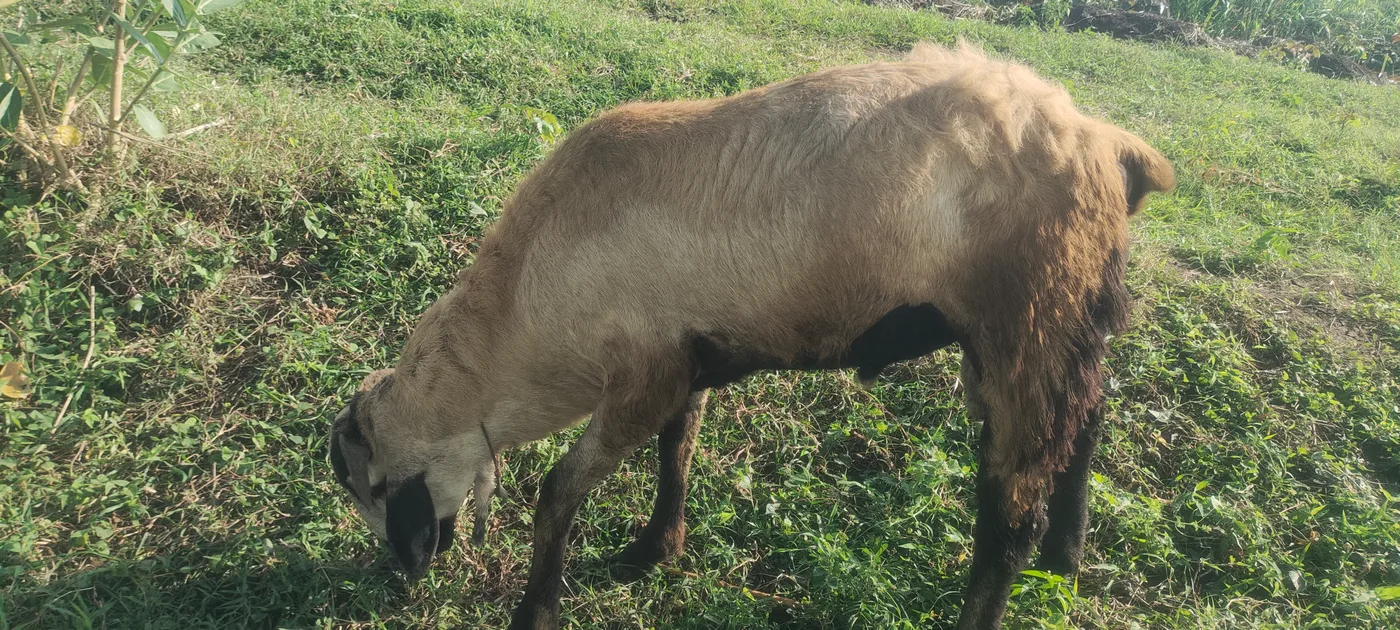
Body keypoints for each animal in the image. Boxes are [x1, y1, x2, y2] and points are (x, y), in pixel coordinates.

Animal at [328, 41, 1175, 630]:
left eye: (377, 486)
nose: (406, 571)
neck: (525, 311)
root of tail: (1108, 140)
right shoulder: (687, 355)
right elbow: (679, 449)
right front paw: (653, 551)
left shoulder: (640, 376)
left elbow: (559, 490)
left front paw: (538, 610)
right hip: (1069, 312)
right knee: (1091, 415)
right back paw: (1069, 559)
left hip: (1024, 318)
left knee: (1010, 516)